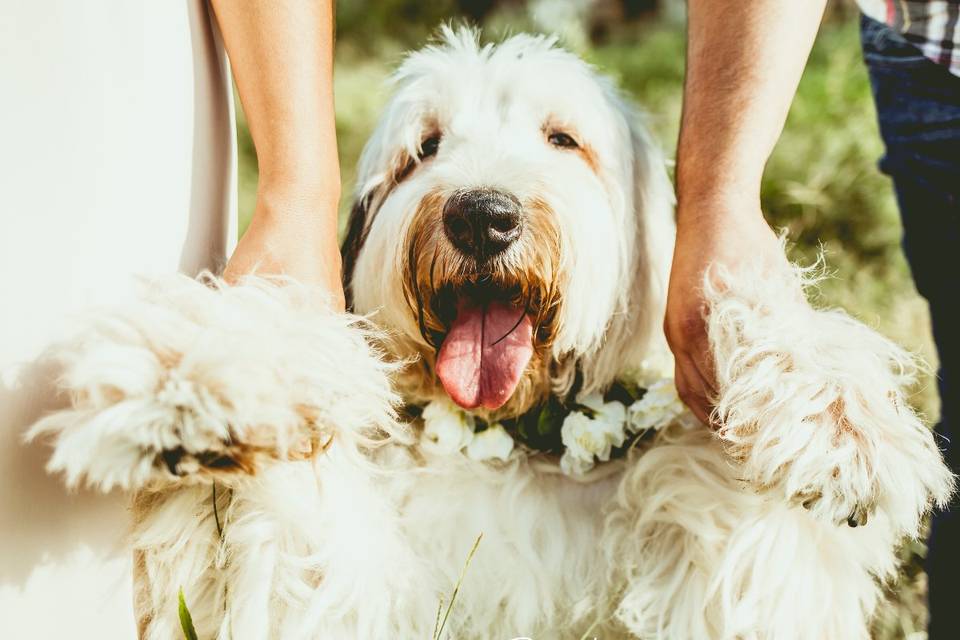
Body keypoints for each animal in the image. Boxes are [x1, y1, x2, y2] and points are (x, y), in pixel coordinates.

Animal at [28, 28, 952, 640]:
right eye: (425, 149)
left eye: (562, 139)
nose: (482, 216)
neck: (508, 441)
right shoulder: (327, 584)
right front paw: (190, 384)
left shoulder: (729, 573)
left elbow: (746, 491)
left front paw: (840, 422)